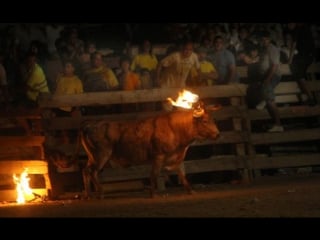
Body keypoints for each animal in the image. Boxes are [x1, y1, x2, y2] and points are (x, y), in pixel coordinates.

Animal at [75, 106, 220, 198]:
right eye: (205, 121)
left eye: (213, 120)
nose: (218, 134)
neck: (174, 128)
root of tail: (89, 125)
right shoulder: (158, 157)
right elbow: (154, 174)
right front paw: (153, 194)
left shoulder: (174, 158)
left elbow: (181, 174)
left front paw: (190, 190)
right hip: (101, 156)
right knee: (92, 172)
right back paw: (100, 192)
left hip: (92, 157)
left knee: (85, 170)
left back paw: (88, 194)